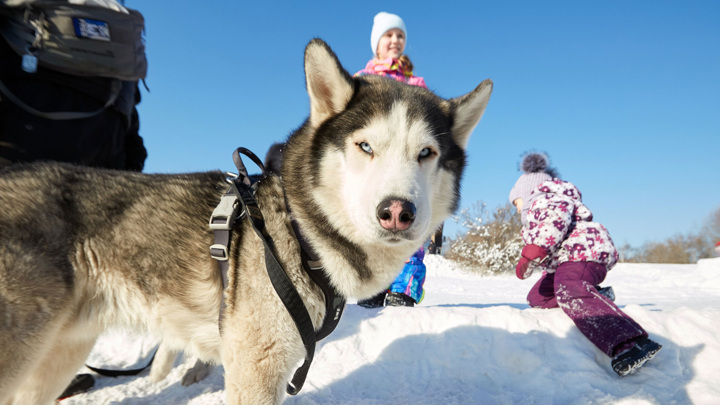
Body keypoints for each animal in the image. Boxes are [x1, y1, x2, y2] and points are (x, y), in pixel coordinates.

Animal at [0, 38, 492, 404]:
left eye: (426, 153)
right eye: (365, 146)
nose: (397, 211)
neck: (299, 233)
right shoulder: (255, 371)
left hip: (60, 352)